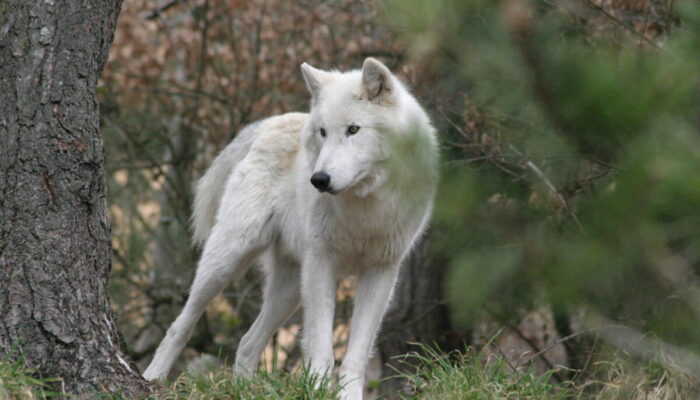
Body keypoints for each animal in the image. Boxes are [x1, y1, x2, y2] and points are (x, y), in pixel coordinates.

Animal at [142, 57, 438, 398]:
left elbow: (356, 356)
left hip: (290, 288)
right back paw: (152, 378)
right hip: (228, 262)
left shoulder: (381, 272)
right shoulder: (322, 264)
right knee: (181, 324)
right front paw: (319, 390)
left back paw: (245, 388)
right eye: (323, 132)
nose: (319, 179)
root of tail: (270, 122)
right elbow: (321, 348)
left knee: (247, 343)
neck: (366, 206)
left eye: (353, 129)